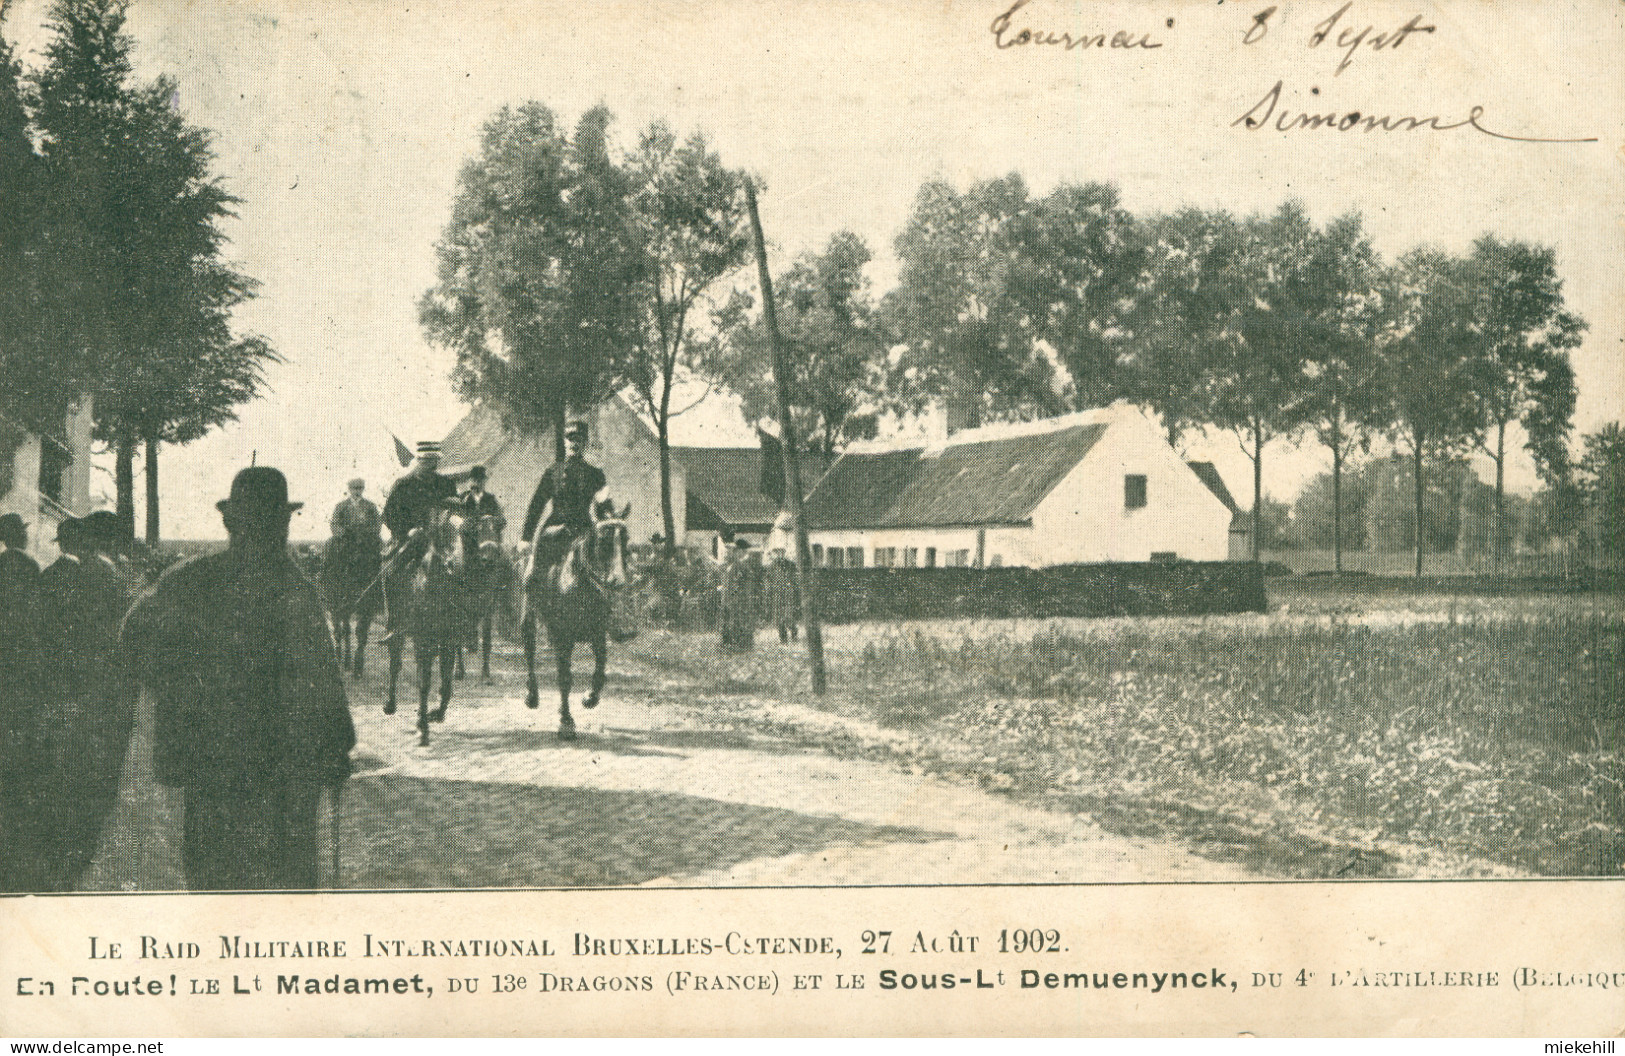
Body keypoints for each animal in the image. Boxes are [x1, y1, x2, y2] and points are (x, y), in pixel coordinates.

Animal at [320, 526, 380, 675]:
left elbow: (361, 633)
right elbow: (341, 631)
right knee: (341, 630)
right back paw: (341, 656)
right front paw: (343, 659)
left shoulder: (367, 608)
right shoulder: (338, 607)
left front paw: (358, 665)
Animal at [385, 500, 477, 740]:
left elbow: (446, 682)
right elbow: (424, 682)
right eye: (446, 531)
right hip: (395, 625)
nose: (456, 566)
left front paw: (436, 713)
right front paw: (422, 725)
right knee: (394, 662)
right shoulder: (422, 640)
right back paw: (389, 704)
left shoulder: (449, 640)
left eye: (469, 533)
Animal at [520, 503, 627, 740]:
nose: (618, 581)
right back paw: (532, 696)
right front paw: (566, 722)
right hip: (529, 616)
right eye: (604, 540)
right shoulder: (563, 637)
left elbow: (600, 671)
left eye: (625, 540)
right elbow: (565, 678)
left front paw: (589, 698)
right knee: (530, 652)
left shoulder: (597, 635)